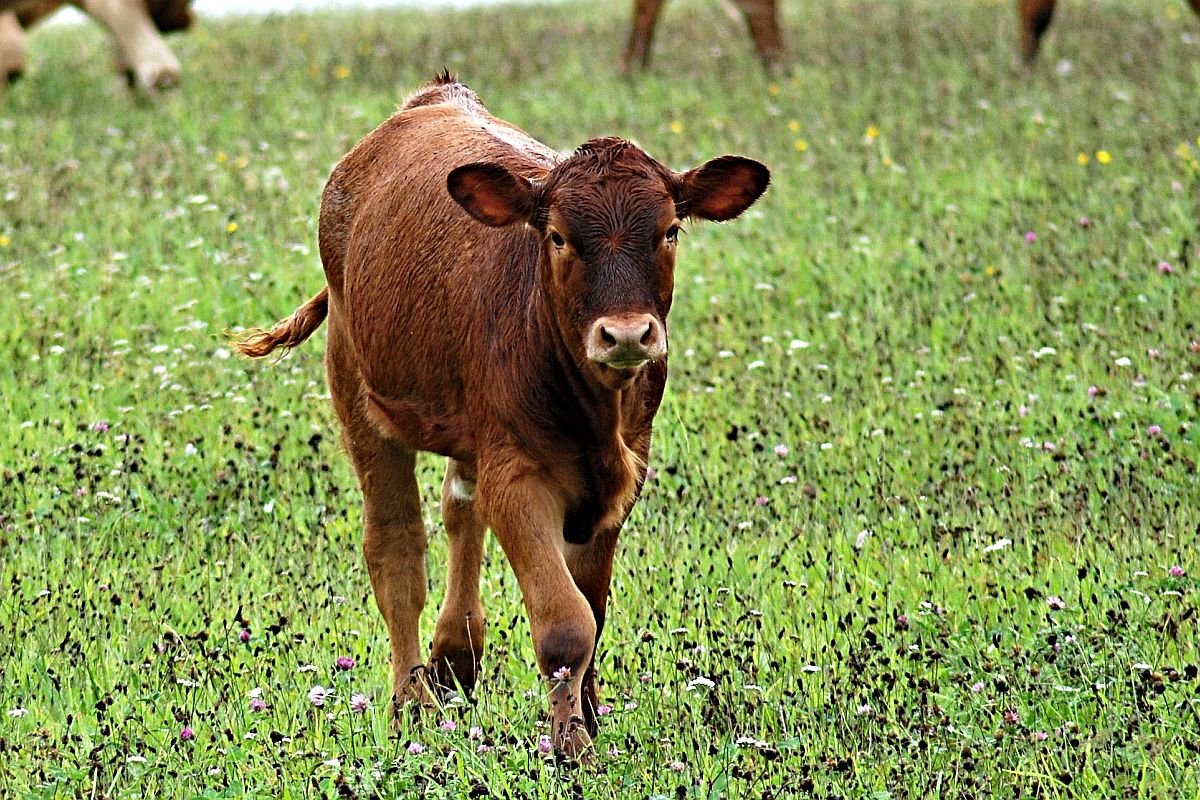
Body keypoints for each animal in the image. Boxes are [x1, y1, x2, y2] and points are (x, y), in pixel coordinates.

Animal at [236, 73, 768, 758]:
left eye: (670, 230)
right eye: (559, 236)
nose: (626, 334)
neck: (594, 414)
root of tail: (435, 98)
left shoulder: (623, 475)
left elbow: (593, 607)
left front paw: (588, 715)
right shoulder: (517, 475)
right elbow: (566, 622)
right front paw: (572, 746)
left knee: (460, 506)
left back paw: (454, 657)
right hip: (356, 387)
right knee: (396, 547)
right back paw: (412, 702)